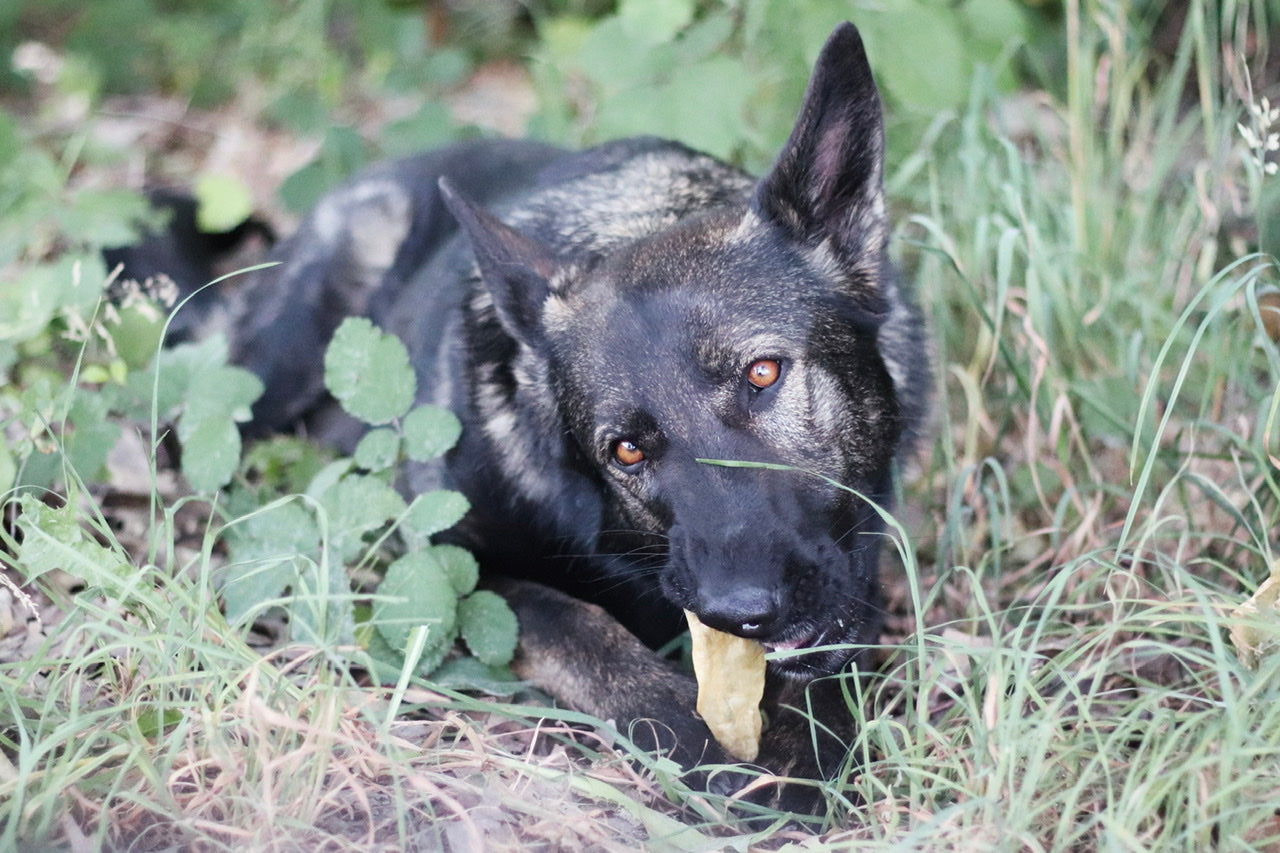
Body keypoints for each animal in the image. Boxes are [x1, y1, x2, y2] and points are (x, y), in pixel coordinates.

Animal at [117, 23, 931, 814]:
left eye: (763, 374)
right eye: (626, 450)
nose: (742, 612)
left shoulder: (857, 563)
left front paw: (804, 742)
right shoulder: (447, 567)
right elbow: (576, 626)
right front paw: (692, 735)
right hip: (266, 373)